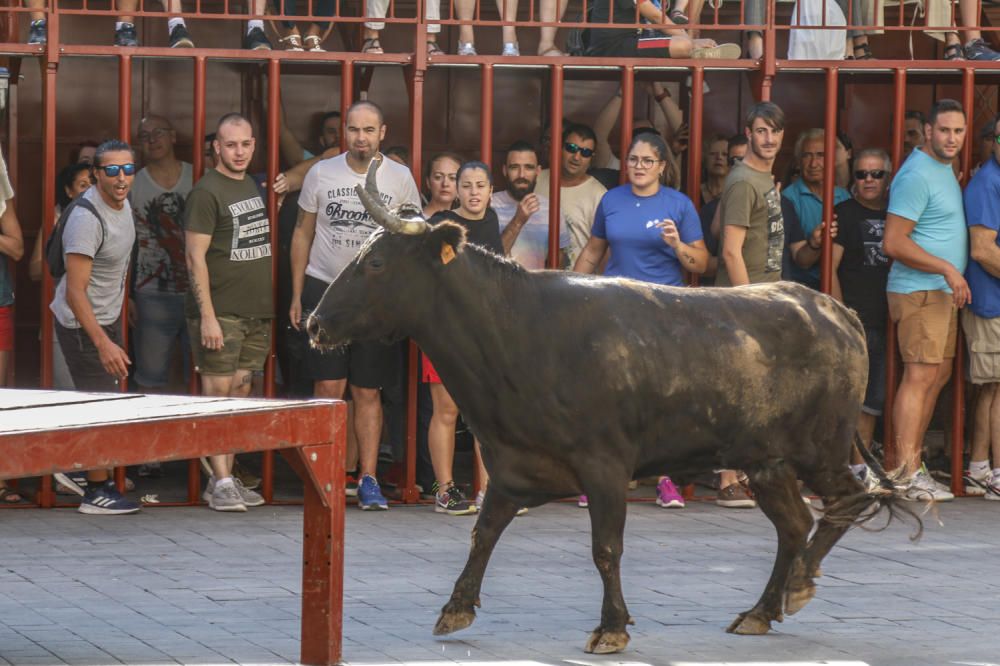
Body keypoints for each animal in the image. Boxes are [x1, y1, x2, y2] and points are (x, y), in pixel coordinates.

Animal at [306, 160, 916, 652]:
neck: (515, 330)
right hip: (766, 461)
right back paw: (760, 611)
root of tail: (836, 310)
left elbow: (606, 548)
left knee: (847, 501)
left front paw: (611, 627)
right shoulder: (513, 464)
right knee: (795, 523)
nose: (314, 322)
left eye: (377, 262)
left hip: (821, 448)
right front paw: (455, 609)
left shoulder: (603, 466)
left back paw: (800, 582)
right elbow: (484, 533)